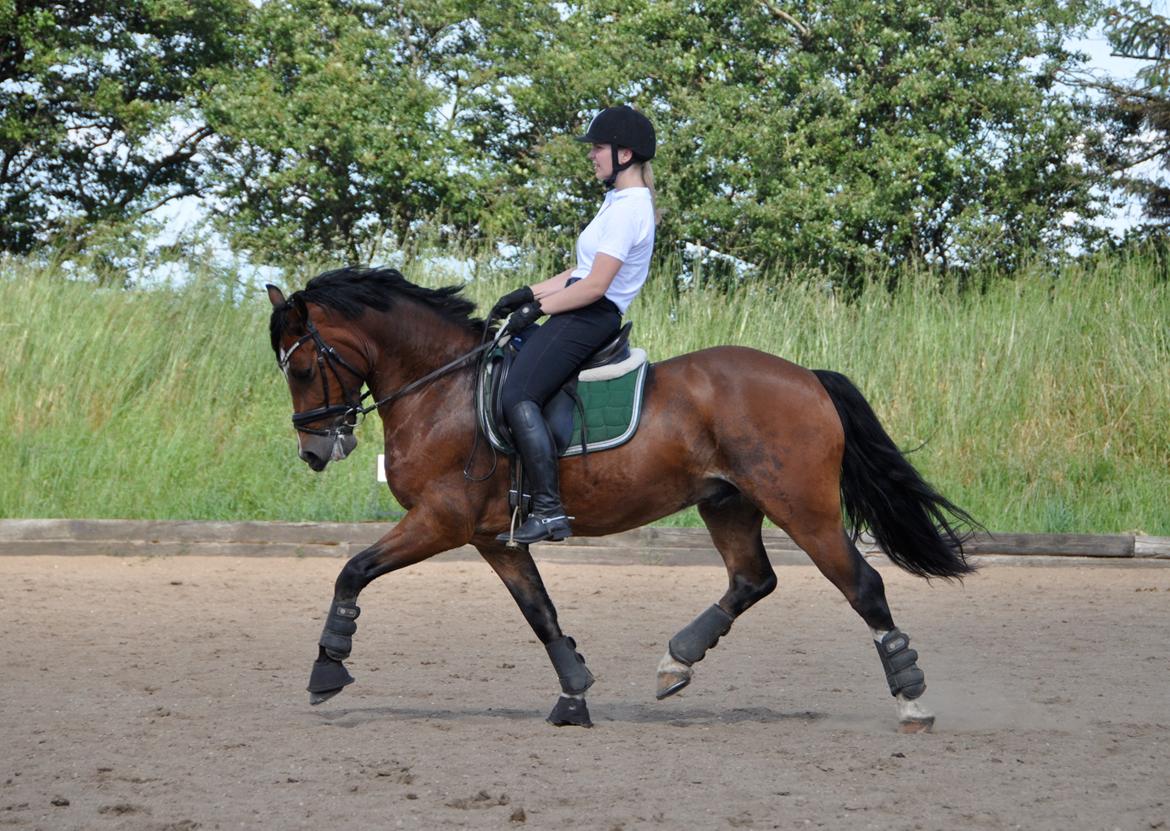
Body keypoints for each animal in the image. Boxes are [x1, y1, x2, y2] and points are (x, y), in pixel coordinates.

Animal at [267, 266, 978, 735]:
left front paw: (326, 670)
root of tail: (809, 378)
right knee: (752, 579)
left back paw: (912, 701)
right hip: (727, 503)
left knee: (862, 586)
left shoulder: (442, 520)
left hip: (802, 508)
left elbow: (352, 570)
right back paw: (676, 663)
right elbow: (541, 614)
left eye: (300, 369)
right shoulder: (495, 537)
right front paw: (575, 696)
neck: (443, 391)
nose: (315, 451)